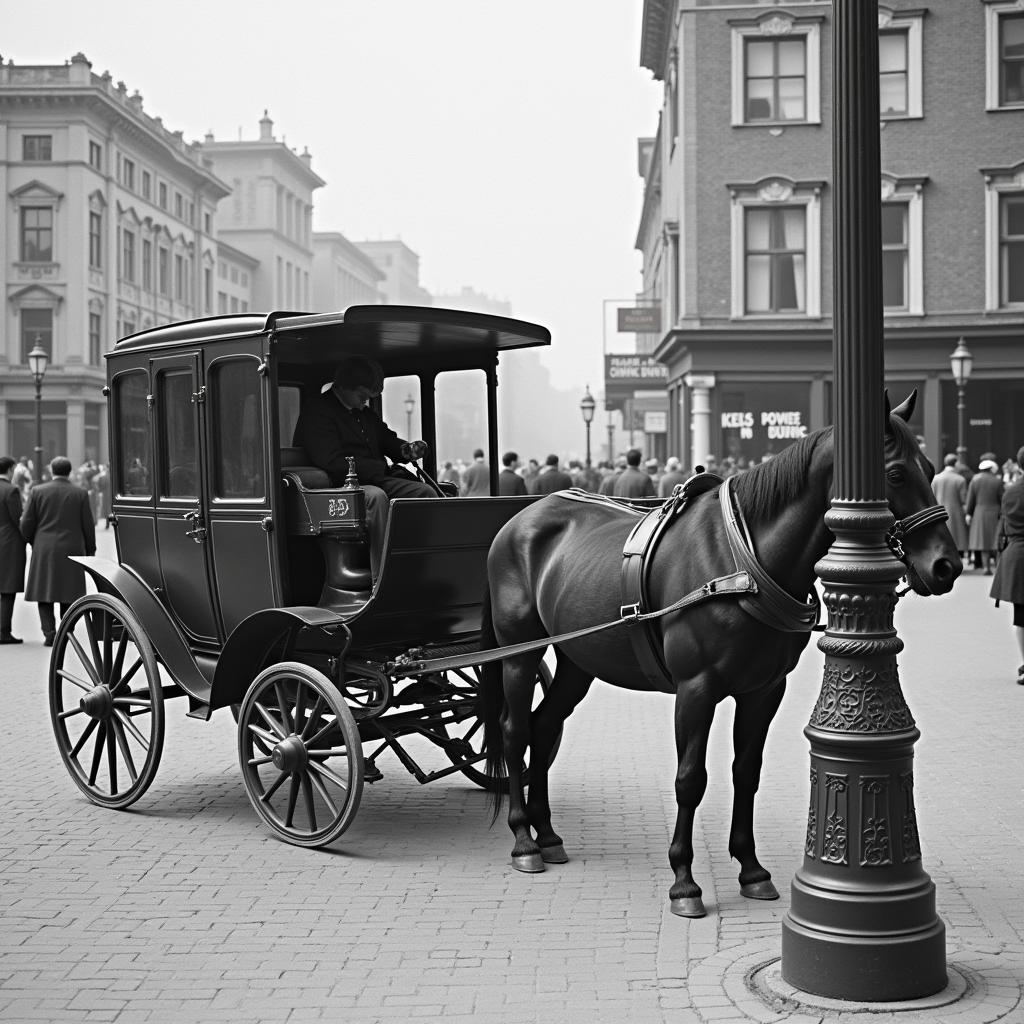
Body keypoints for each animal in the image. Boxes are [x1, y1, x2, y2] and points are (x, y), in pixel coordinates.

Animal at [479, 395, 958, 917]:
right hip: (520, 655)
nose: (947, 565)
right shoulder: (696, 690)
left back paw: (547, 834)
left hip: (578, 660)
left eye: (931, 468)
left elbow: (746, 772)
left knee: (545, 726)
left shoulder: (764, 690)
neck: (741, 563)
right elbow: (690, 779)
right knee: (516, 730)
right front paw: (684, 880)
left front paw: (751, 869)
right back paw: (523, 837)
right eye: (894, 474)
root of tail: (523, 517)